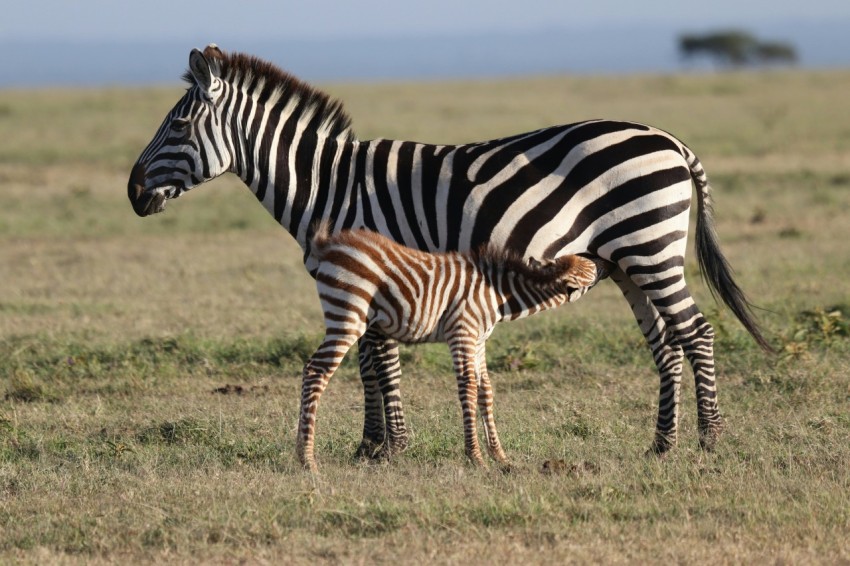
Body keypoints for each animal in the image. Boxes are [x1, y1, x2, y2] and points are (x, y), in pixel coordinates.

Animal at [298, 224, 603, 471]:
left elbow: (485, 389)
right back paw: (307, 460)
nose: (602, 258)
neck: (498, 294)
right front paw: (476, 458)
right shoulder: (462, 332)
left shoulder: (478, 339)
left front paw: (500, 456)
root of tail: (330, 244)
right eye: (592, 270)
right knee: (316, 371)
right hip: (347, 316)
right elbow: (468, 387)